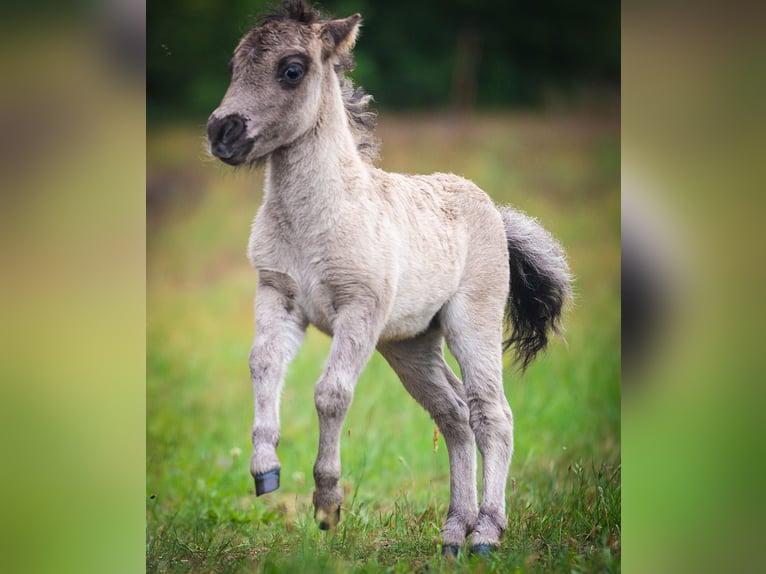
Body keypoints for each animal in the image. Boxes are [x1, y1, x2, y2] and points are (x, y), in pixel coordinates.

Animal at [207, 0, 571, 556]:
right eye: (234, 66)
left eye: (291, 70)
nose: (220, 132)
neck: (315, 219)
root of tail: (494, 209)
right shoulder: (277, 297)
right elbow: (262, 365)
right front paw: (265, 470)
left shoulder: (359, 309)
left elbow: (331, 393)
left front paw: (327, 503)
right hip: (410, 345)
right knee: (454, 415)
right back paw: (453, 532)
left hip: (472, 324)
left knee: (491, 414)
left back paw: (486, 532)